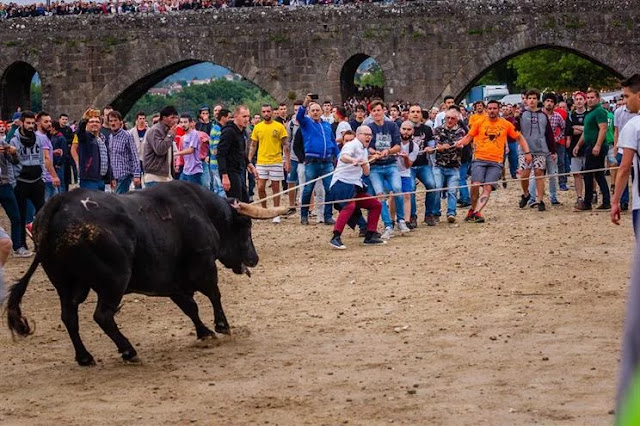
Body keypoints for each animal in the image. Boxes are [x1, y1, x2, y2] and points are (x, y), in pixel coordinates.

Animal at [6, 181, 286, 366]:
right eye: (246, 227)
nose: (254, 258)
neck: (203, 212)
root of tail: (58, 203)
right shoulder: (204, 267)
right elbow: (213, 295)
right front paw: (222, 326)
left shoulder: (171, 282)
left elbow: (190, 307)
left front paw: (204, 332)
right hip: (114, 282)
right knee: (102, 316)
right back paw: (128, 351)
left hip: (68, 285)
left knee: (69, 317)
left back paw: (85, 357)